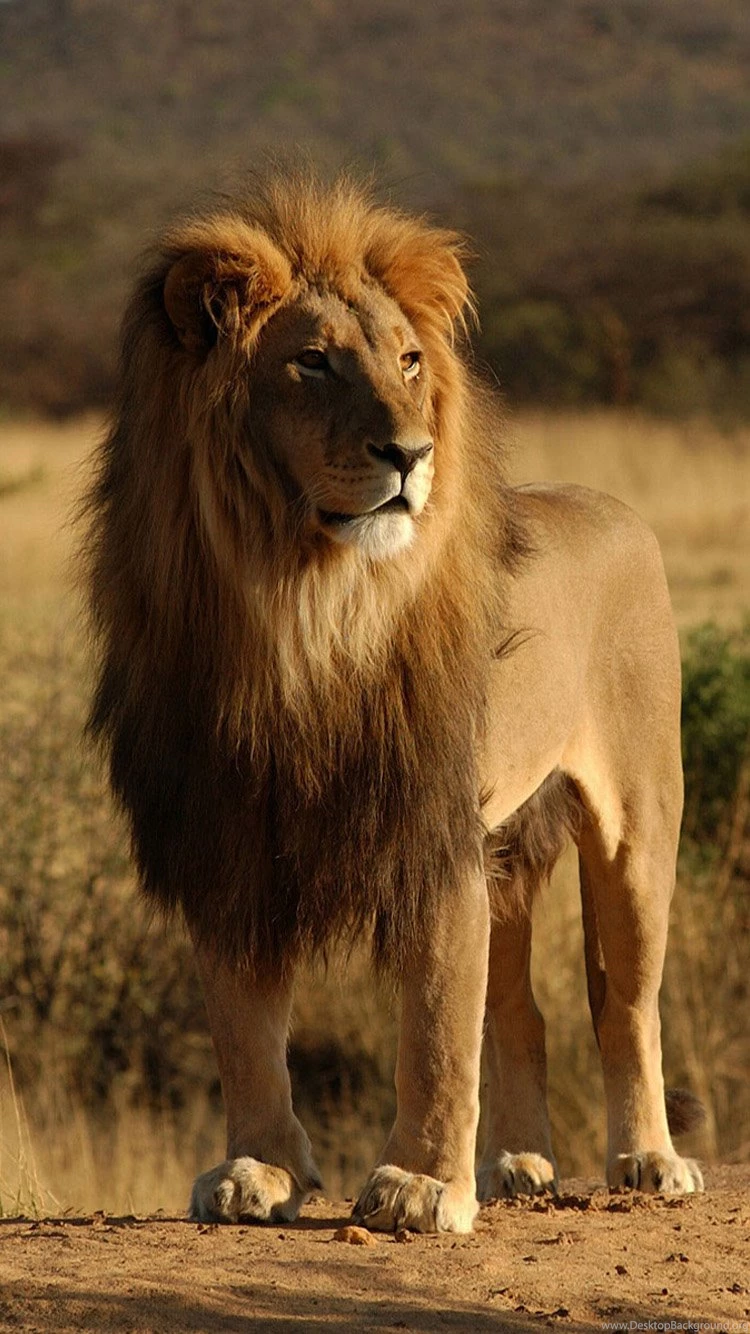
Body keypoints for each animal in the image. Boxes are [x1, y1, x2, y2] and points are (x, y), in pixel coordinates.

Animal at [84, 173, 703, 1234]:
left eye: (411, 362)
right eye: (313, 362)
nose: (410, 453)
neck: (301, 608)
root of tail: (615, 507)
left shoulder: (430, 829)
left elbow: (436, 1025)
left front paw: (419, 1185)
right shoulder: (228, 831)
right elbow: (245, 1026)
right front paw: (259, 1170)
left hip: (636, 825)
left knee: (625, 1002)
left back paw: (648, 1160)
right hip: (509, 848)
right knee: (523, 1009)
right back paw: (516, 1164)